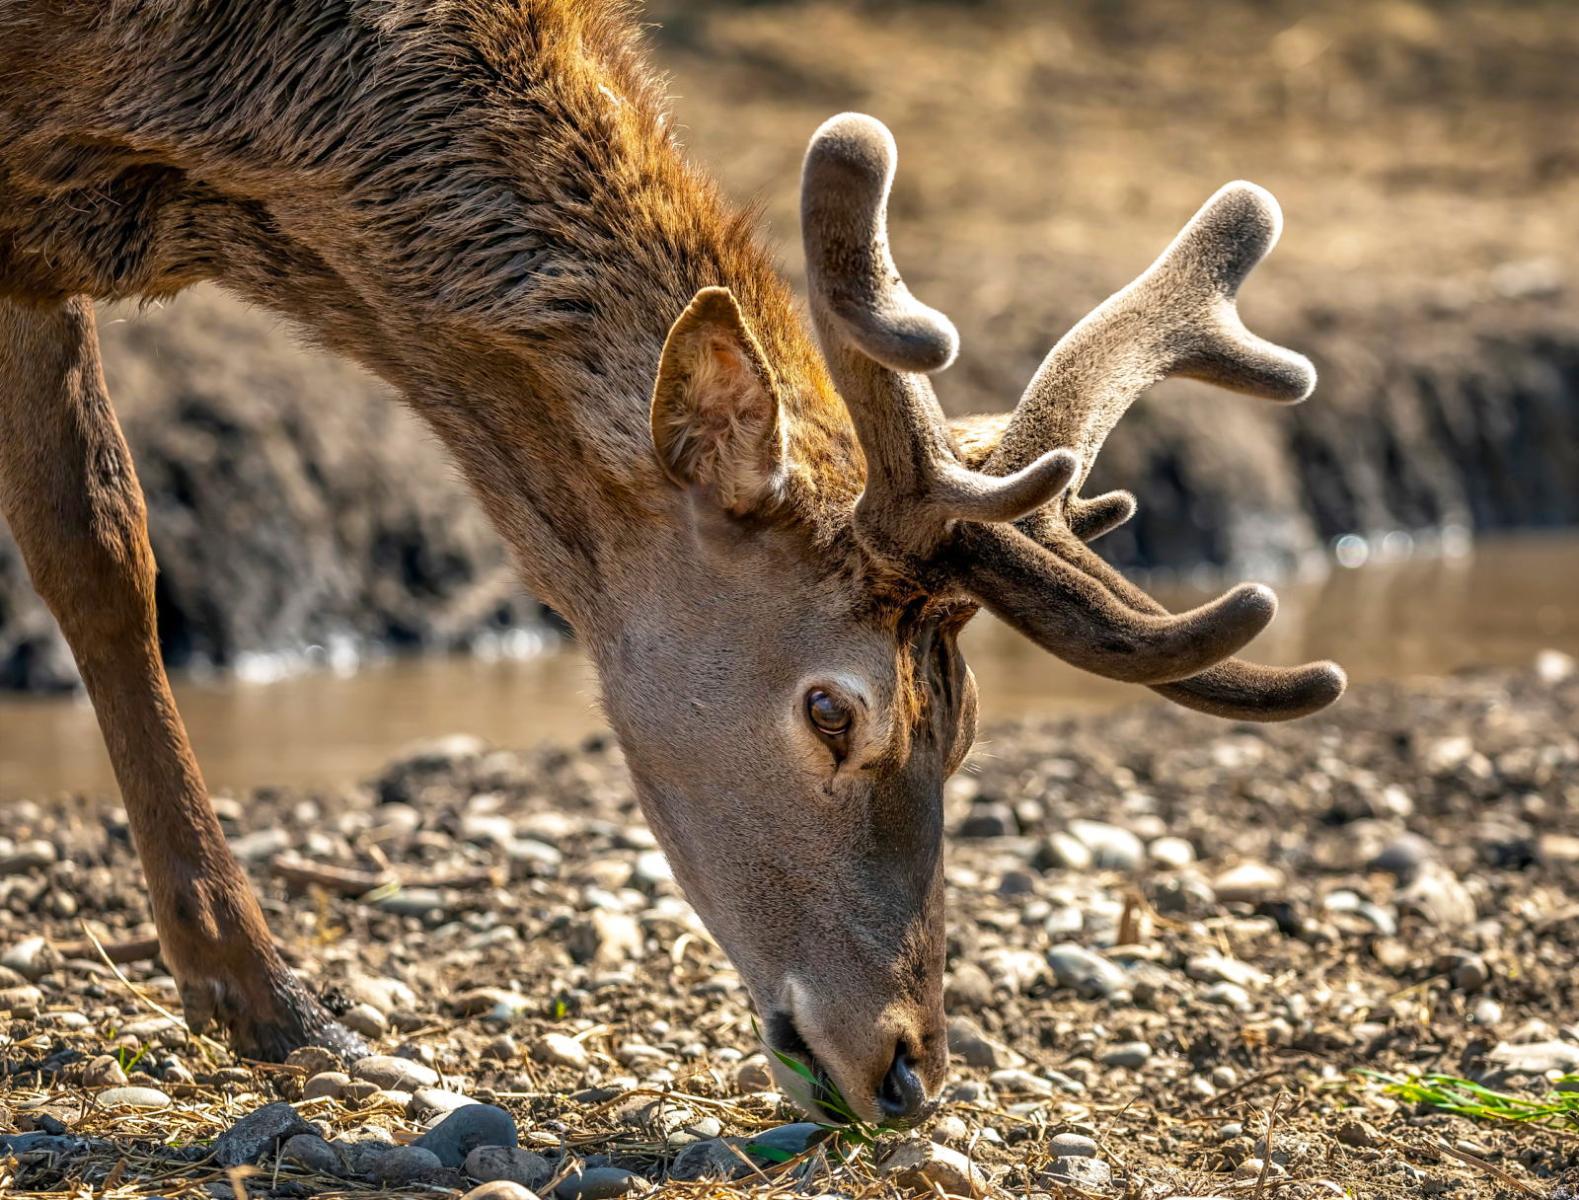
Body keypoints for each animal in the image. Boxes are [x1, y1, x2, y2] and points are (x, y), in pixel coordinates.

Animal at [0, 0, 1345, 1124]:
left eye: (963, 727)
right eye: (830, 708)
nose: (909, 1069)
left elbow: (97, 542)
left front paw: (260, 1000)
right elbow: (99, 542)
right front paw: (264, 996)